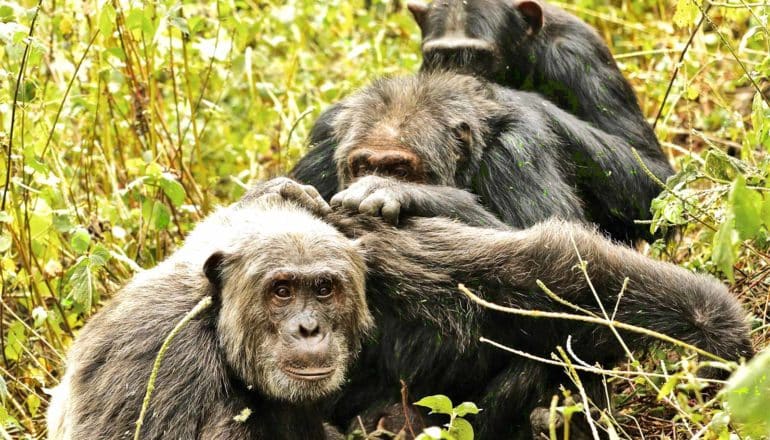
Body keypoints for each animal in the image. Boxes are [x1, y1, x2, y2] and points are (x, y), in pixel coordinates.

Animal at [292, 73, 672, 242]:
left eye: (398, 168)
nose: (373, 176)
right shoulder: (324, 148)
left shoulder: (518, 152)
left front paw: (392, 191)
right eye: (363, 165)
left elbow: (562, 244)